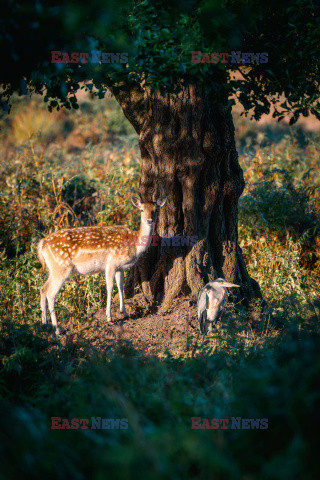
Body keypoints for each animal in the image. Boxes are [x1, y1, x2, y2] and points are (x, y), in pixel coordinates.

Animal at [37, 195, 168, 334]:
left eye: (156, 209)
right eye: (141, 209)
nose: (149, 220)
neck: (134, 244)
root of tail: (41, 244)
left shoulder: (120, 267)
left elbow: (120, 286)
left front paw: (124, 313)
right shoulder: (111, 263)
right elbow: (110, 288)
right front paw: (109, 317)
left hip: (53, 269)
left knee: (43, 289)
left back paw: (44, 325)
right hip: (61, 268)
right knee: (51, 294)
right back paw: (57, 330)